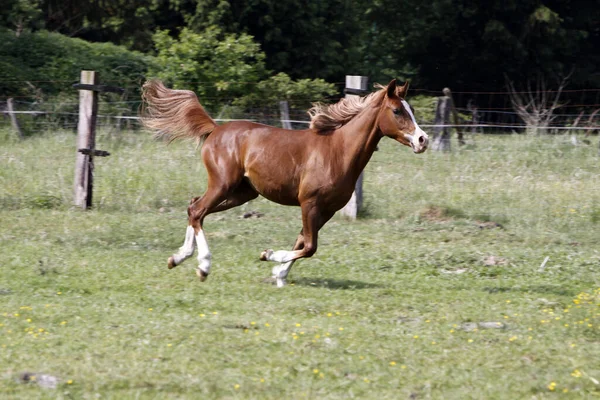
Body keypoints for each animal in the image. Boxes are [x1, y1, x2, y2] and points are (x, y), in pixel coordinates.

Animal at [143, 78, 428, 286]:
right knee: (198, 210)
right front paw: (269, 256)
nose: (422, 140)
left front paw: (279, 274)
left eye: (411, 110)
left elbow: (302, 241)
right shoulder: (309, 203)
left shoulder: (327, 209)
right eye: (397, 110)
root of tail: (215, 128)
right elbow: (310, 246)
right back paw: (203, 266)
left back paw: (178, 257)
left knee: (194, 208)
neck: (337, 151)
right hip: (222, 184)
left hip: (242, 193)